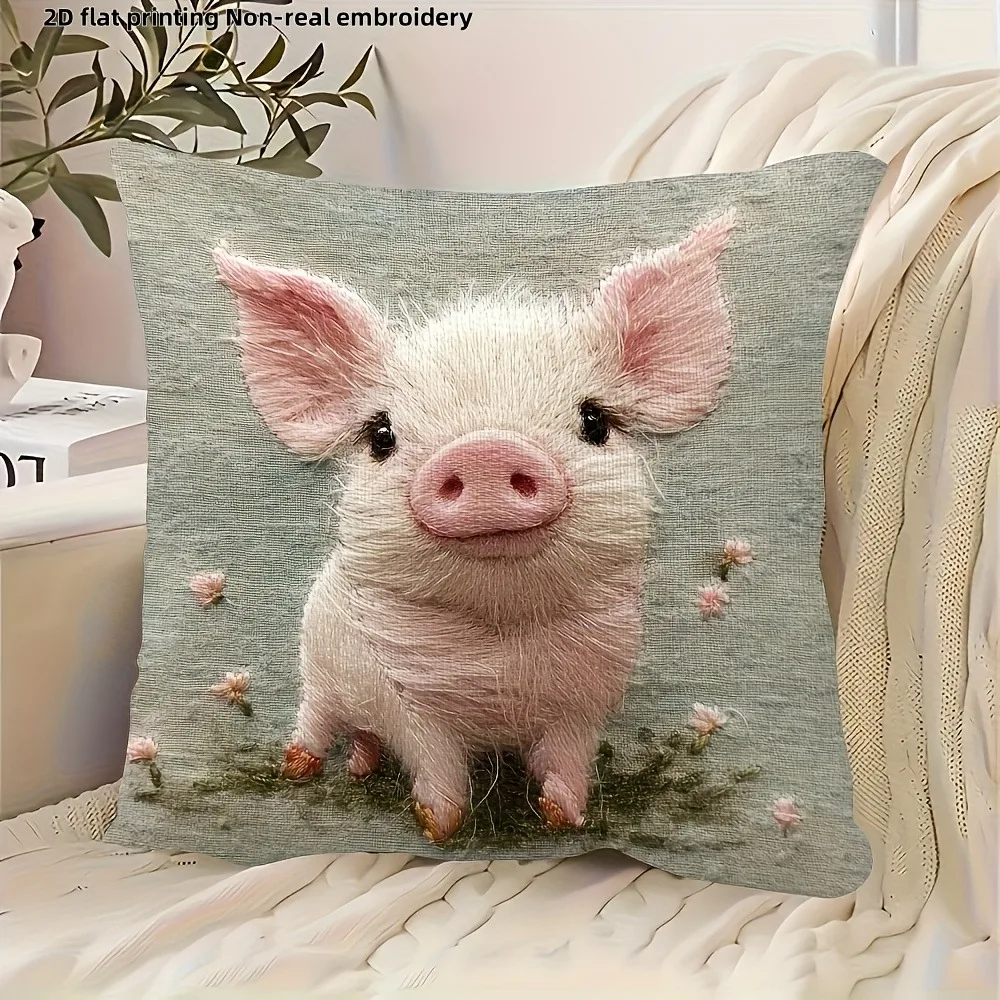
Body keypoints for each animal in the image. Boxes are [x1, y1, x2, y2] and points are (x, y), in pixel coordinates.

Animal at [213, 209, 736, 843]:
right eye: (381, 435)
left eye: (595, 421)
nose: (486, 451)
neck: (503, 647)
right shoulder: (407, 700)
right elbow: (436, 761)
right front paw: (440, 829)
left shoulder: (586, 702)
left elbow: (567, 761)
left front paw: (566, 821)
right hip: (317, 664)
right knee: (317, 718)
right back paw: (298, 770)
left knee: (362, 734)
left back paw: (360, 771)